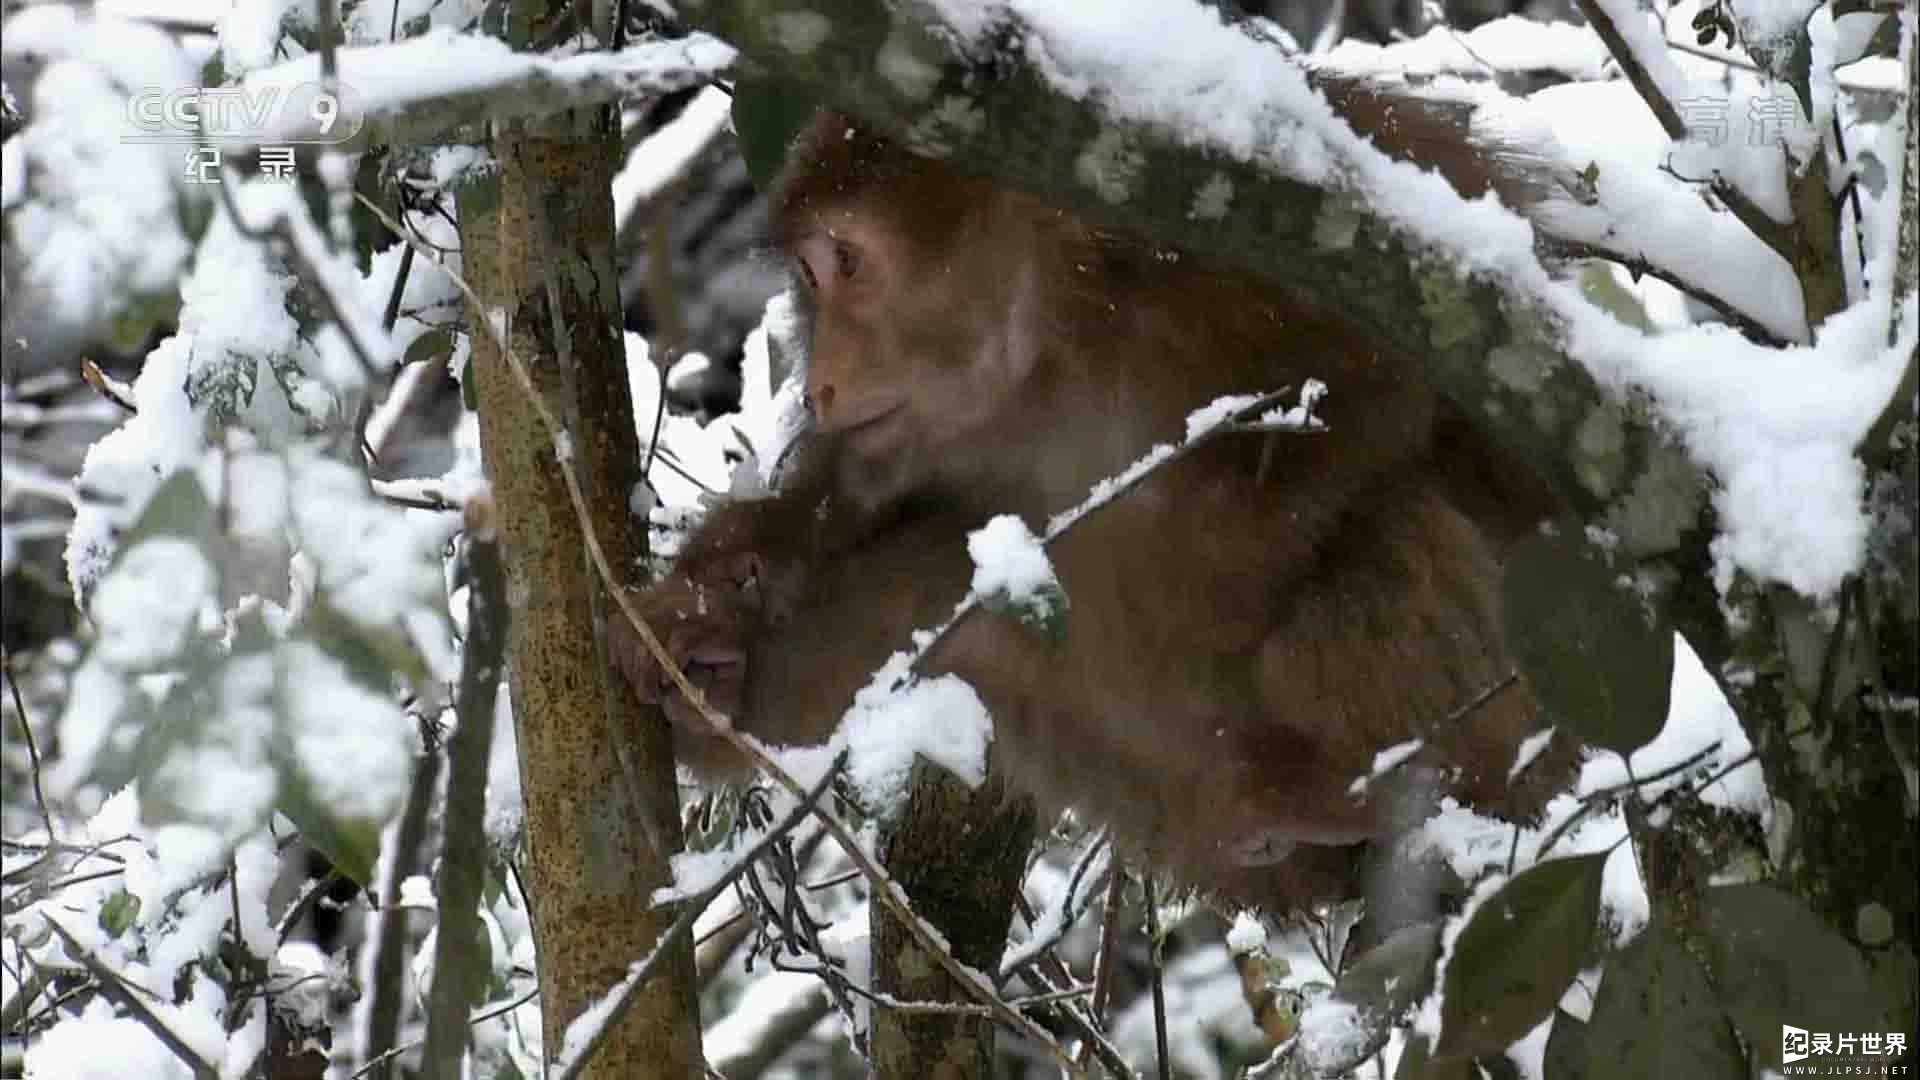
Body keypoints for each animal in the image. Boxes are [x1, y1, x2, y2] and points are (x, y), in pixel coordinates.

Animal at [610, 73, 1574, 907]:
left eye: (846, 261)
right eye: (812, 277)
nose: (822, 383)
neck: (1055, 347)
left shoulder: (1245, 262)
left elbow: (1393, 392)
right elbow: (853, 514)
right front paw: (715, 614)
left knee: (1380, 537)